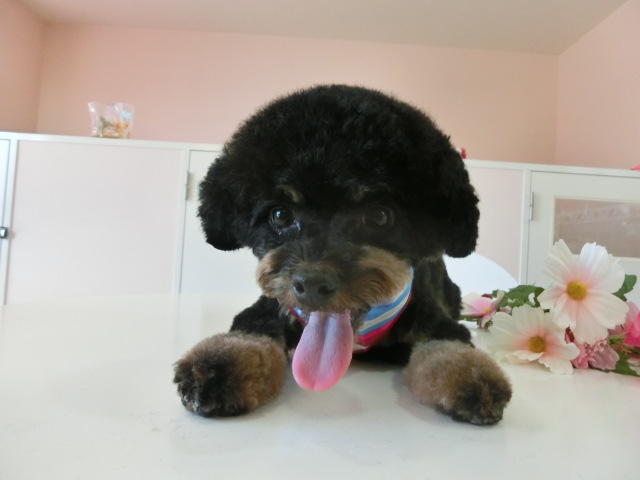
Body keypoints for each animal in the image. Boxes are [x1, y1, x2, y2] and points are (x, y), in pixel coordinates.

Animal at [173, 84, 512, 425]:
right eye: (280, 215)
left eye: (379, 216)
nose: (311, 283)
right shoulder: (271, 308)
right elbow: (248, 331)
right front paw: (219, 365)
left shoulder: (434, 319)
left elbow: (449, 345)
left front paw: (473, 378)